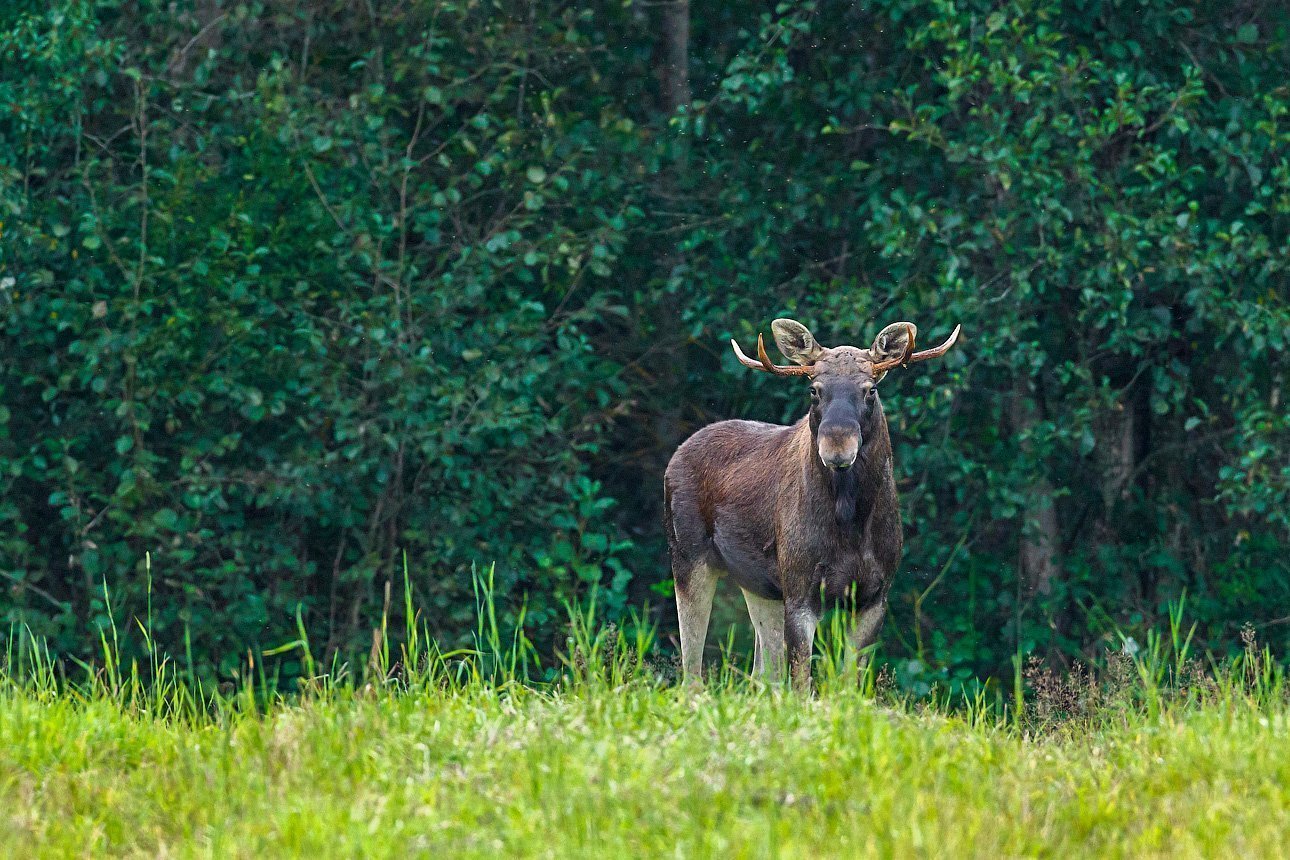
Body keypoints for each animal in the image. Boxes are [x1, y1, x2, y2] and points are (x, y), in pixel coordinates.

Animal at [665, 318, 959, 691]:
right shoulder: (801, 590)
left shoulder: (874, 595)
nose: (837, 446)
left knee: (761, 675)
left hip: (758, 584)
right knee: (693, 670)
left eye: (870, 390)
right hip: (689, 555)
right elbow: (801, 685)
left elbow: (849, 684)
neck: (852, 524)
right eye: (814, 390)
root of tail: (675, 455)